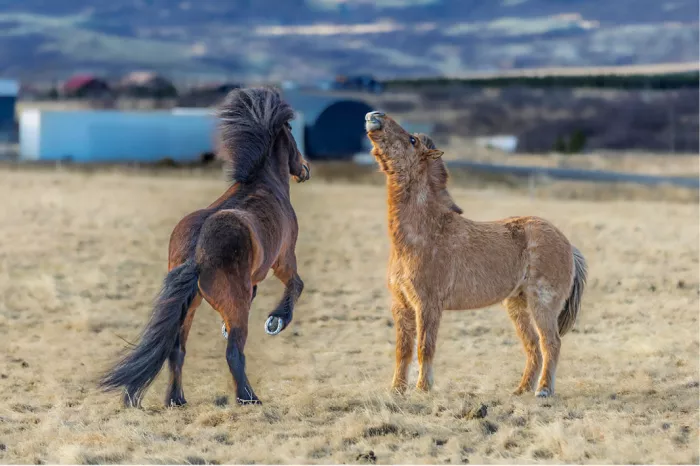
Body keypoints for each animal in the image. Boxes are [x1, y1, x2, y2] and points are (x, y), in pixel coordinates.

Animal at [99, 87, 310, 407]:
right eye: (294, 136)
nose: (304, 169)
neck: (265, 184)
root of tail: (196, 252)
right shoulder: (283, 259)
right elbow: (296, 284)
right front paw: (277, 320)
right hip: (230, 302)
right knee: (234, 352)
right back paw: (249, 398)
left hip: (189, 306)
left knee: (176, 350)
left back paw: (176, 399)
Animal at [365, 111, 587, 398]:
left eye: (412, 139)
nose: (374, 116)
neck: (424, 233)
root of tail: (568, 245)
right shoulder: (401, 305)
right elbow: (402, 351)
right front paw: (396, 391)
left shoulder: (427, 306)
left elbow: (425, 347)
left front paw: (423, 389)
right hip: (517, 306)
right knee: (533, 347)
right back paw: (521, 390)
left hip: (542, 304)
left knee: (551, 343)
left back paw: (544, 391)